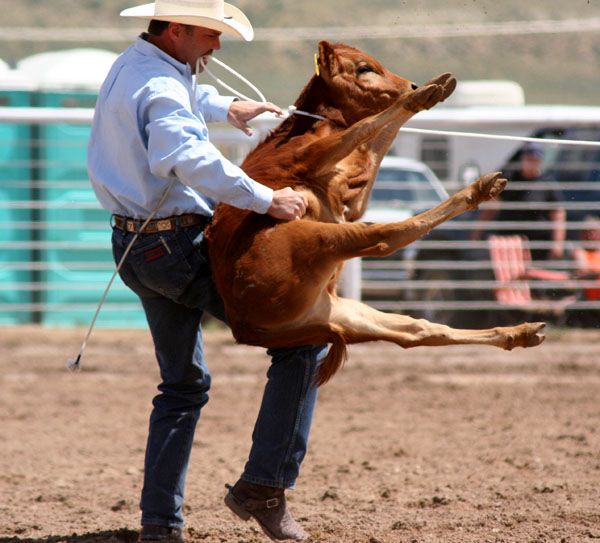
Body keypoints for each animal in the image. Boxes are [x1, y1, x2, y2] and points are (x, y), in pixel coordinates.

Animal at [204, 40, 548, 384]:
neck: (311, 128)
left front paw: (428, 91)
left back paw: (521, 332)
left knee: (419, 331)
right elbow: (362, 127)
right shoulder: (310, 157)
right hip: (317, 241)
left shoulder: (353, 200)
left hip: (343, 311)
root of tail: (245, 329)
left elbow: (373, 143)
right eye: (364, 68)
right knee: (386, 237)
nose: (410, 86)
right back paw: (474, 191)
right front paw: (422, 95)